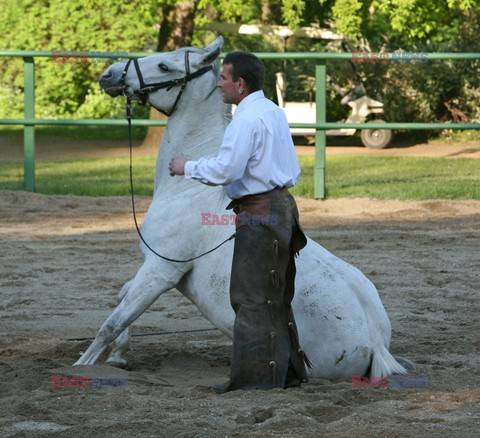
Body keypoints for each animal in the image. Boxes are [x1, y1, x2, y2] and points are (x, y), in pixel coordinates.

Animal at [73, 36, 406, 380]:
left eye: (165, 65)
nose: (109, 74)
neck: (189, 190)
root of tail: (376, 343)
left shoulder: (161, 270)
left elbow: (113, 322)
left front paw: (83, 365)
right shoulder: (154, 271)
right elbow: (123, 297)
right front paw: (118, 356)